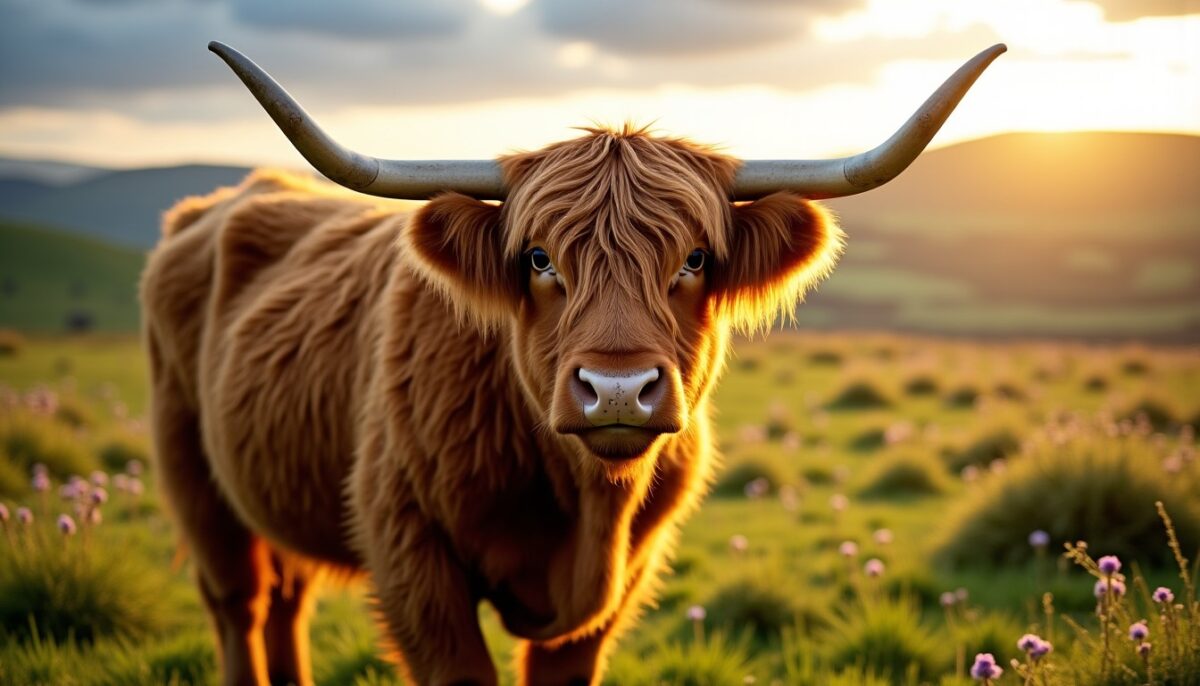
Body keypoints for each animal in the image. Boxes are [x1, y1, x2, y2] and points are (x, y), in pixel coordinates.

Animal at [140, 41, 1004, 686]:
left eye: (696, 258)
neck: (583, 501)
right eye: (538, 258)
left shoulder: (621, 581)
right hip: (193, 476)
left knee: (286, 603)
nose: (617, 389)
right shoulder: (412, 555)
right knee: (240, 603)